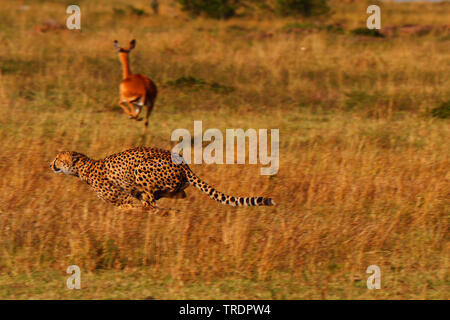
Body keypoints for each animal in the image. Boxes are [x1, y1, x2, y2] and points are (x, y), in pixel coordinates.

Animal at [49, 146, 274, 209]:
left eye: (58, 158)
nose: (51, 164)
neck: (84, 168)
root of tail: (182, 161)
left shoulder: (123, 198)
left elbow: (129, 207)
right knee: (176, 194)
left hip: (142, 168)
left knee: (152, 200)